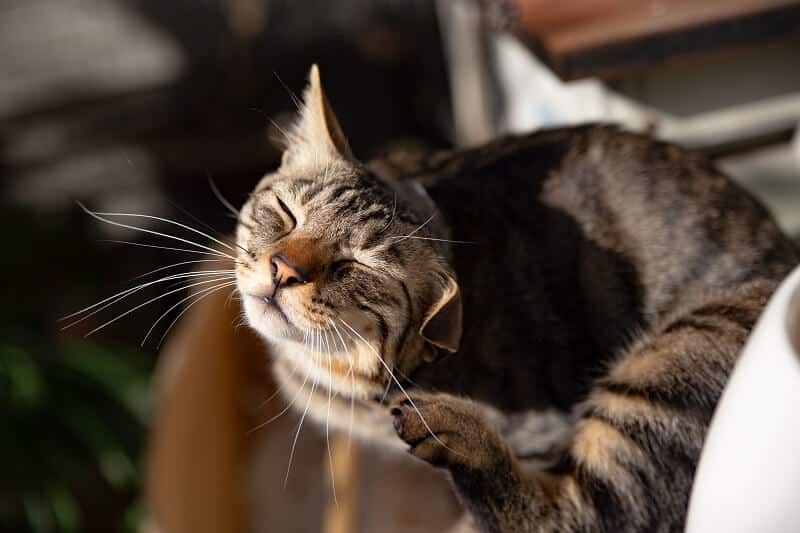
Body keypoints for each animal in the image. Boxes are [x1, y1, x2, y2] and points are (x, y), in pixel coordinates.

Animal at [234, 66, 800, 532]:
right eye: (285, 213)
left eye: (354, 265)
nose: (284, 270)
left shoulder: (545, 431)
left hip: (673, 357)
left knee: (581, 516)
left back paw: (452, 431)